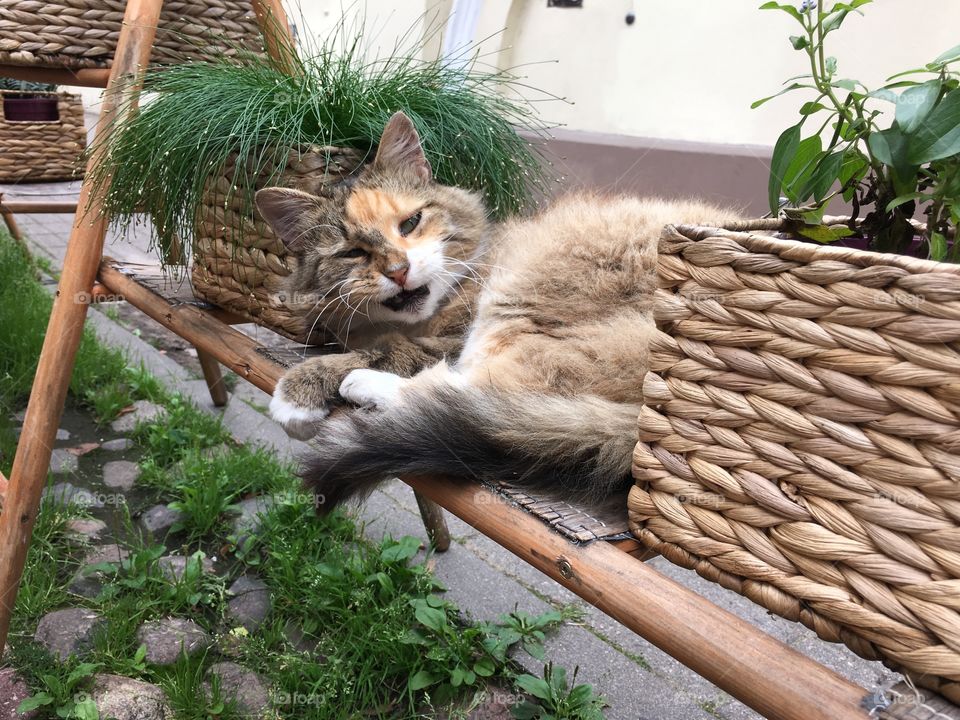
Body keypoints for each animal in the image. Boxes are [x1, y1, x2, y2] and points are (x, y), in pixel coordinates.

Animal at [256, 109, 744, 510]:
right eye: (352, 253)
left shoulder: (447, 337)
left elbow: (387, 350)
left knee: (476, 392)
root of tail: (642, 432)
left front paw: (297, 395)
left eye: (410, 223)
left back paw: (365, 385)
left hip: (520, 302)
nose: (398, 270)